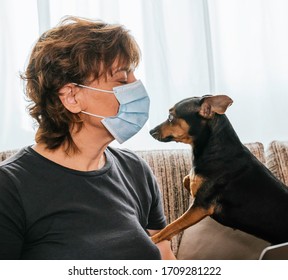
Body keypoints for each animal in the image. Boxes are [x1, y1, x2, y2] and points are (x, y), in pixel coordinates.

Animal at [150, 95, 288, 245]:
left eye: (170, 117)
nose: (150, 131)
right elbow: (187, 179)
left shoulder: (200, 207)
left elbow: (171, 227)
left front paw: (152, 239)